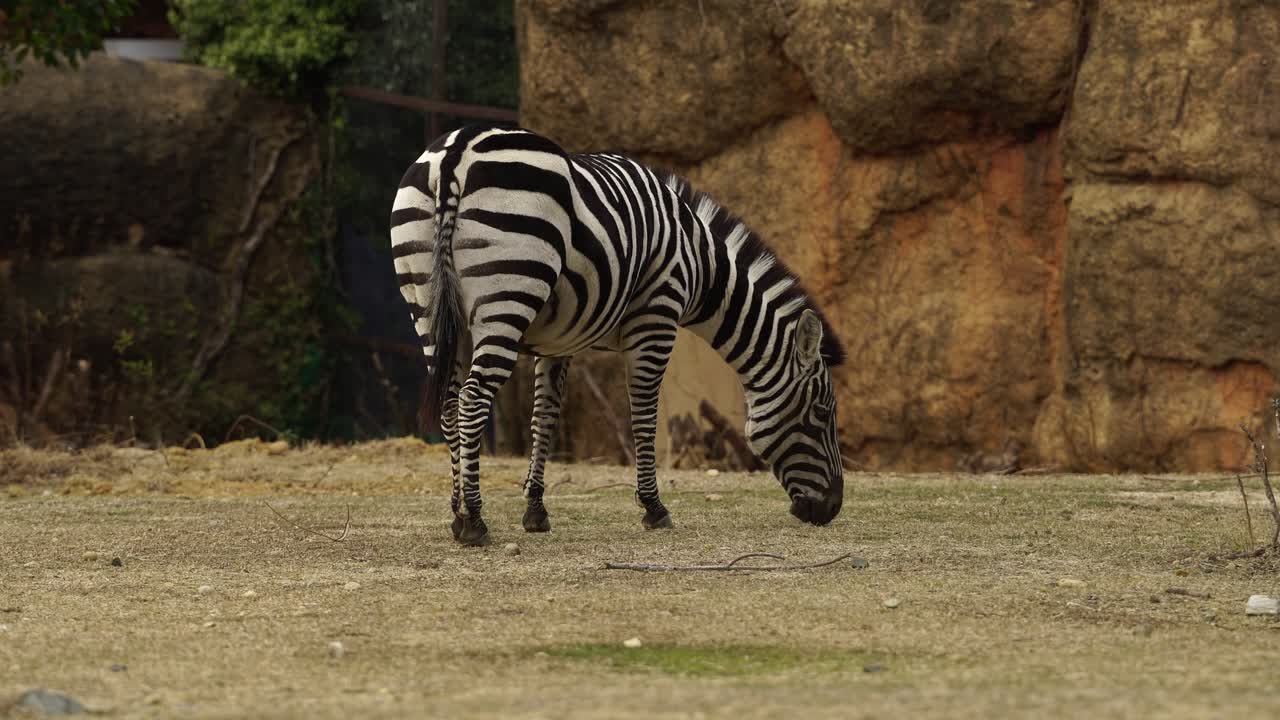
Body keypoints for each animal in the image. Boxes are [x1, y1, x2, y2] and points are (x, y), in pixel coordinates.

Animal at [390, 123, 845, 545]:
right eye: (822, 413)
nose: (832, 509)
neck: (699, 261)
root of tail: (456, 152)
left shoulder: (558, 342)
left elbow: (545, 417)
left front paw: (536, 509)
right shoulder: (658, 314)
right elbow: (644, 413)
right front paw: (654, 508)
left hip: (427, 305)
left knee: (450, 403)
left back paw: (456, 513)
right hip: (509, 294)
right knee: (471, 400)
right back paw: (474, 521)